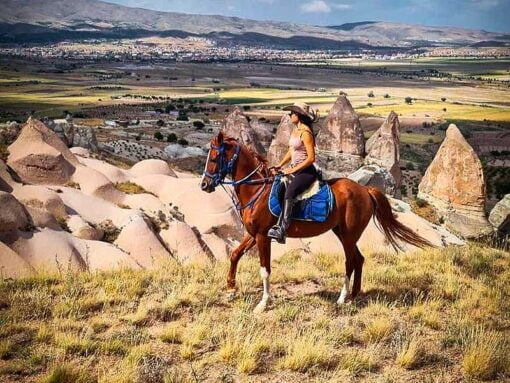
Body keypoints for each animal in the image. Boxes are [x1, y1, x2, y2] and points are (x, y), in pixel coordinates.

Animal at [199, 134, 430, 314]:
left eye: (215, 158)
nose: (204, 185)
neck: (257, 189)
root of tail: (365, 190)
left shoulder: (264, 236)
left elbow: (265, 269)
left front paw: (263, 303)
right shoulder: (253, 234)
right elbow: (235, 255)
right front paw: (231, 289)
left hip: (348, 235)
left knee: (350, 261)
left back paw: (342, 298)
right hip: (342, 233)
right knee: (359, 259)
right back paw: (354, 296)